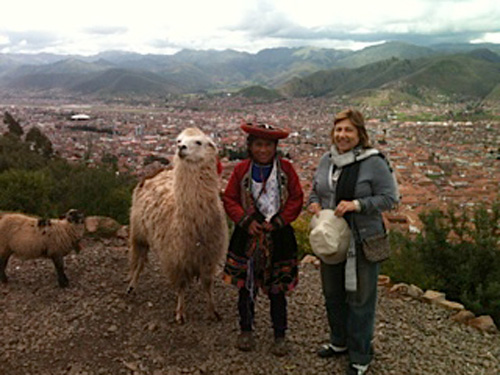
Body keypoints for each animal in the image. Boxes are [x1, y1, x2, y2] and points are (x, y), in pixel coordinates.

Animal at [129, 128, 230, 324]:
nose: (180, 148)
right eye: (178, 140)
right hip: (138, 233)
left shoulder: (209, 257)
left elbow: (208, 285)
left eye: (198, 142)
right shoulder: (176, 259)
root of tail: (160, 171)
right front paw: (180, 313)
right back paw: (131, 287)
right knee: (138, 261)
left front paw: (212, 311)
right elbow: (181, 286)